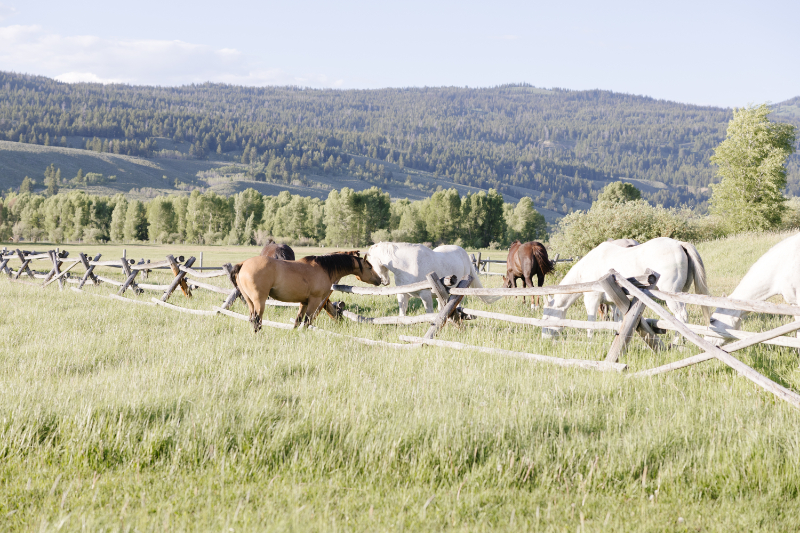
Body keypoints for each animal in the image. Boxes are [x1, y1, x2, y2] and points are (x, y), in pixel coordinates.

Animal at [227, 253, 382, 331]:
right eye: (369, 267)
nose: (379, 279)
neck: (324, 268)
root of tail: (243, 264)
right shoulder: (315, 300)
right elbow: (307, 321)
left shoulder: (304, 302)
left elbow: (298, 321)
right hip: (259, 301)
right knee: (257, 320)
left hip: (250, 301)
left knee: (252, 319)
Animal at [365, 242, 499, 316]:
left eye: (369, 264)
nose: (384, 281)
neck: (407, 265)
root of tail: (464, 253)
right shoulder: (402, 294)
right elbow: (402, 313)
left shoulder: (425, 294)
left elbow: (429, 312)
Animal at [542, 237, 710, 338]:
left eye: (546, 317)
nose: (545, 338)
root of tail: (679, 244)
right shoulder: (614, 302)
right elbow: (617, 320)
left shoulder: (591, 299)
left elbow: (591, 322)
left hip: (672, 296)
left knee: (681, 316)